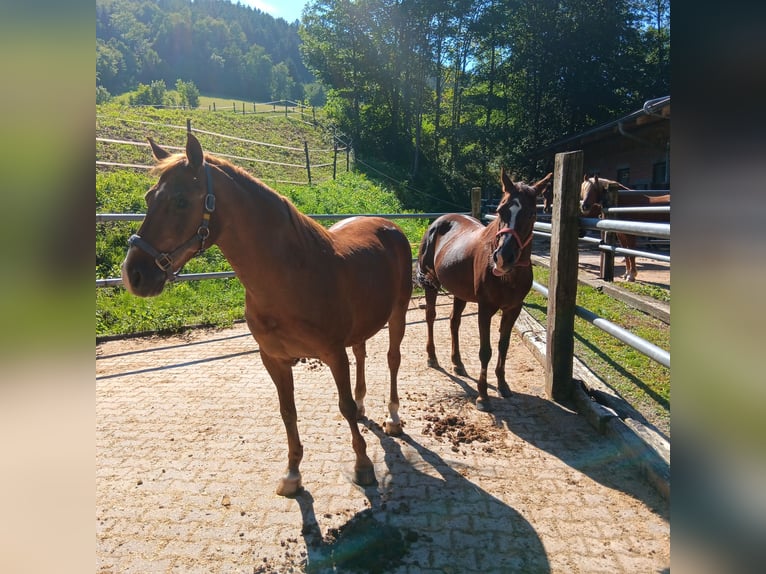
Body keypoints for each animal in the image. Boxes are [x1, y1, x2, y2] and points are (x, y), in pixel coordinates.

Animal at [121, 133, 414, 498]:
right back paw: (364, 407)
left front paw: (362, 466)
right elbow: (287, 411)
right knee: (361, 354)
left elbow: (342, 405)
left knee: (392, 359)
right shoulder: (274, 359)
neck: (291, 276)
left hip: (398, 313)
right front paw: (292, 474)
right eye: (149, 197)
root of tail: (389, 226)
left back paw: (393, 418)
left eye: (181, 201)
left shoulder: (334, 355)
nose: (133, 274)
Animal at [416, 169, 556, 412]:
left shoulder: (513, 309)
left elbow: (503, 346)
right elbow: (485, 351)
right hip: (431, 284)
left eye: (531, 213)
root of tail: (438, 222)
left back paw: (458, 363)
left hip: (460, 293)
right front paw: (483, 396)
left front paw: (503, 385)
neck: (508, 277)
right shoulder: (485, 309)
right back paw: (432, 357)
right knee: (431, 317)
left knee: (454, 321)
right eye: (500, 210)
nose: (503, 257)